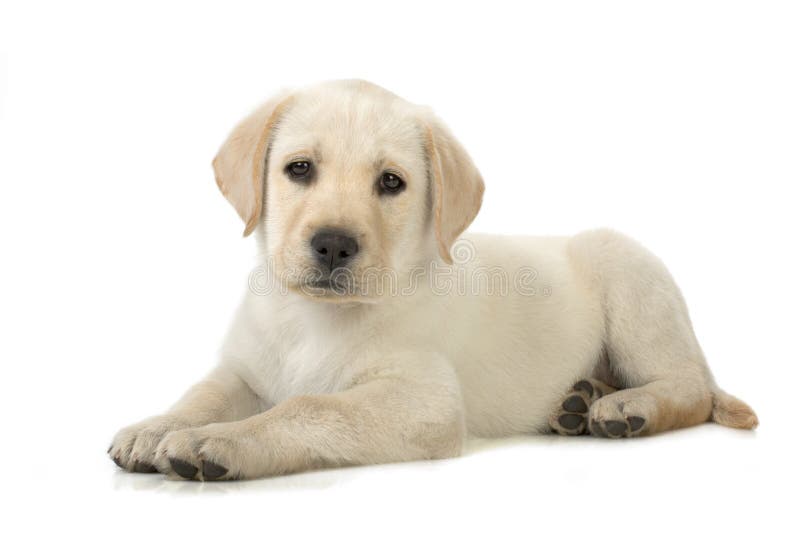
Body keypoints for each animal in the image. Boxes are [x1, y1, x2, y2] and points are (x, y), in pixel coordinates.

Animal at [108, 78, 756, 482]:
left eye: (391, 183)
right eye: (299, 169)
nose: (333, 244)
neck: (313, 318)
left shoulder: (426, 401)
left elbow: (312, 406)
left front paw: (218, 442)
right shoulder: (246, 368)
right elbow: (204, 394)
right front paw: (154, 427)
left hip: (629, 274)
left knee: (692, 387)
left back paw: (627, 406)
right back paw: (580, 400)